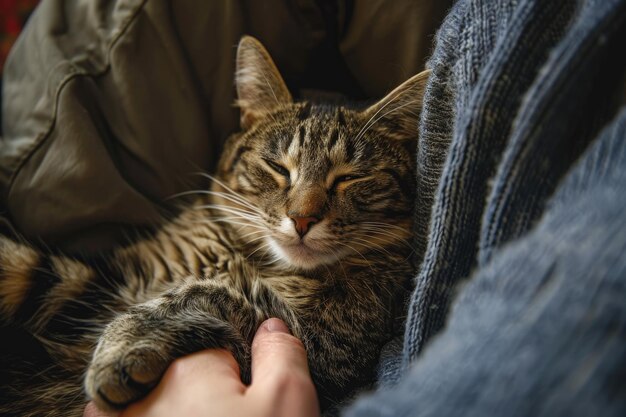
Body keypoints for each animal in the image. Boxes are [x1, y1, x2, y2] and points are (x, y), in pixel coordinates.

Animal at [0, 37, 426, 414]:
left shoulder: (325, 350)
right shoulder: (109, 278)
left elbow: (208, 295)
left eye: (350, 177)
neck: (247, 257)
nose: (303, 219)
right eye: (277, 167)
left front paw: (127, 342)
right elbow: (24, 266)